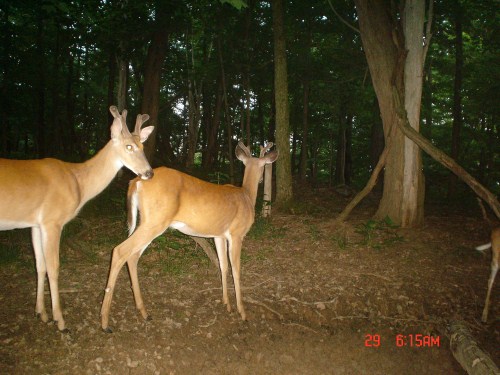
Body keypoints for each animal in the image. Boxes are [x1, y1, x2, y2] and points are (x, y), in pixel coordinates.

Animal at [0, 106, 154, 332]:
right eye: (129, 146)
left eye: (142, 146)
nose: (149, 173)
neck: (77, 181)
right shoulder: (53, 220)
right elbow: (54, 267)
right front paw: (60, 321)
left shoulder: (36, 224)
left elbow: (40, 265)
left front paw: (41, 314)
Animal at [98, 141, 278, 332]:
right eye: (263, 166)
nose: (262, 179)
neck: (246, 195)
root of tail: (135, 181)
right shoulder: (237, 233)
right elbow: (236, 270)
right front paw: (242, 312)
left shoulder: (219, 235)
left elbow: (223, 266)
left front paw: (226, 304)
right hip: (155, 221)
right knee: (120, 250)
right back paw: (105, 322)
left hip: (147, 221)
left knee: (132, 256)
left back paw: (144, 312)